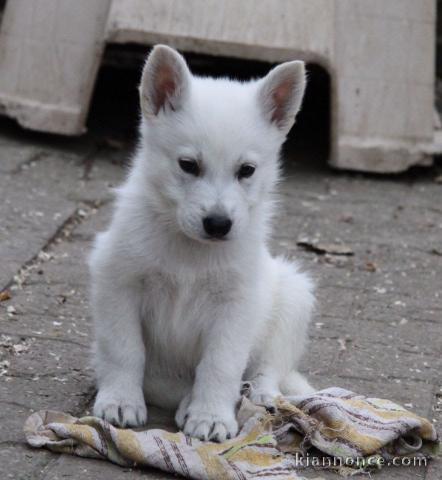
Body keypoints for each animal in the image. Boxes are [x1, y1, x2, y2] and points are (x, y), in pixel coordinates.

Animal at [90, 46, 314, 442]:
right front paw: (120, 400)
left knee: (268, 367)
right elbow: (124, 350)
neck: (190, 253)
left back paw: (260, 394)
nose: (219, 224)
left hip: (293, 295)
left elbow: (220, 365)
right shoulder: (117, 283)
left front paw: (210, 416)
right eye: (188, 165)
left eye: (247, 170)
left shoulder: (237, 305)